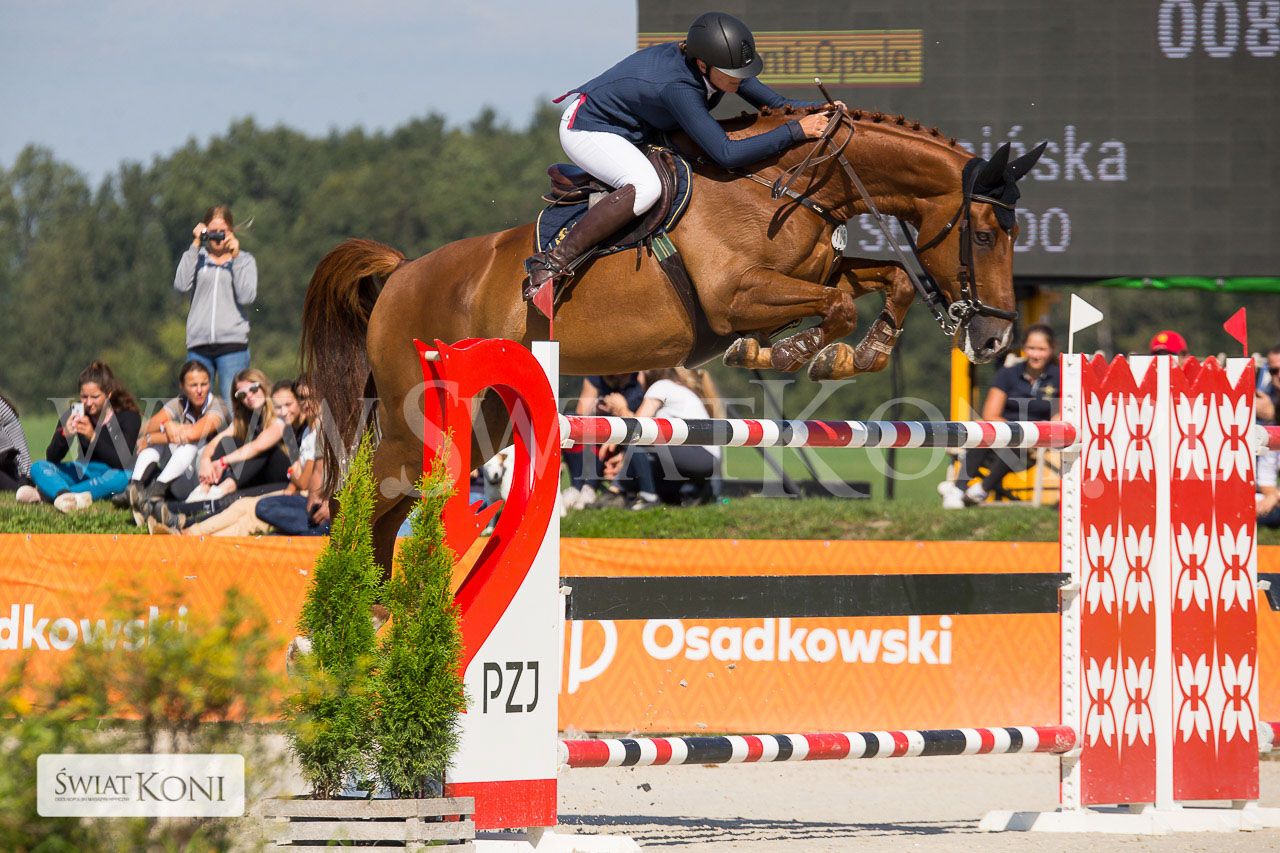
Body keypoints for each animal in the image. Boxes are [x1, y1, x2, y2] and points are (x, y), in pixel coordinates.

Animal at [300, 106, 1045, 574]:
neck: (793, 183)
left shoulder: (812, 270)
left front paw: (854, 351)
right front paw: (791, 352)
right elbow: (834, 305)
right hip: (415, 422)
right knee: (354, 500)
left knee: (388, 512)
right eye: (985, 234)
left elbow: (883, 280)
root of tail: (399, 275)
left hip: (481, 425)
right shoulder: (737, 294)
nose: (993, 338)